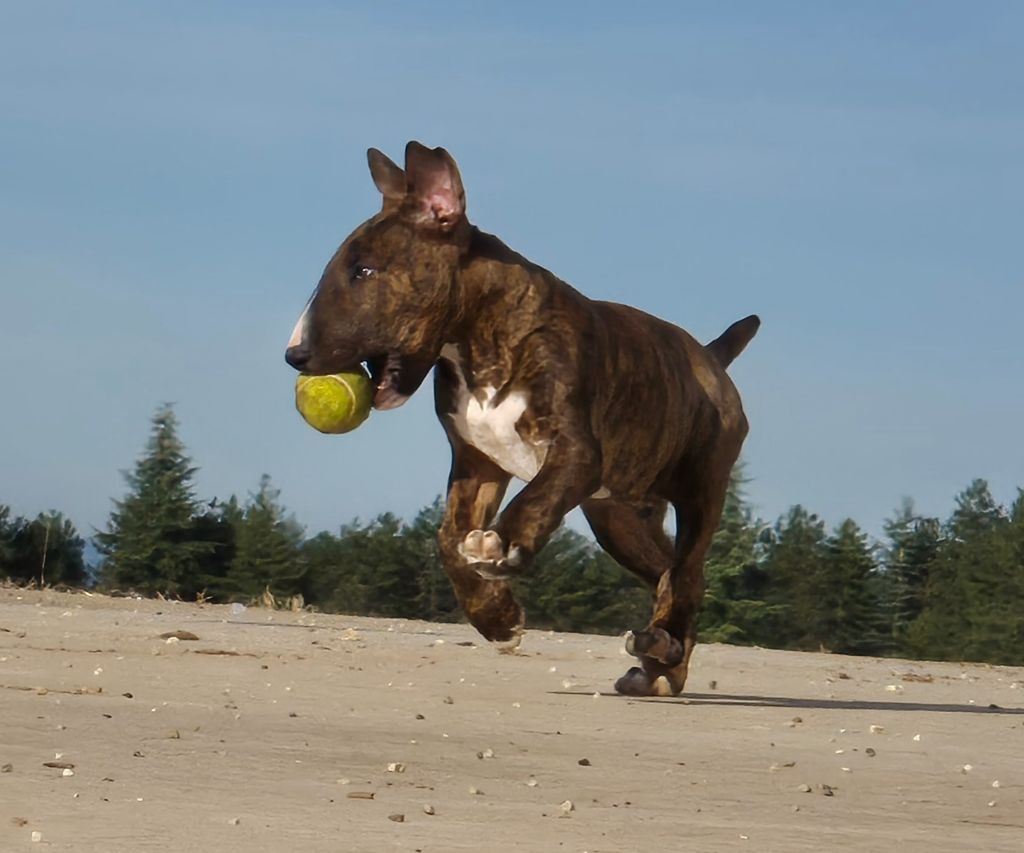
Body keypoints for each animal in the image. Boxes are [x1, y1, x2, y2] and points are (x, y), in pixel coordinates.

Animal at [284, 141, 757, 700]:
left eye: (363, 271)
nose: (294, 355)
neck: (477, 340)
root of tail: (711, 357)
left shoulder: (576, 451)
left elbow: (536, 497)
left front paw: (501, 545)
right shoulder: (476, 463)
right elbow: (447, 539)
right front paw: (498, 619)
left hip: (702, 488)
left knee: (687, 573)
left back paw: (661, 649)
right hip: (618, 516)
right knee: (668, 573)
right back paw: (660, 661)